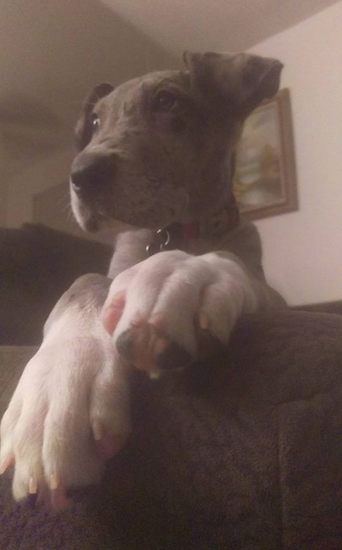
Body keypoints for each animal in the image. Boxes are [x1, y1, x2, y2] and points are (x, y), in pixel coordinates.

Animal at [0, 51, 284, 508]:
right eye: (95, 121)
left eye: (167, 101)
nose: (81, 174)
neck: (171, 231)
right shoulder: (109, 270)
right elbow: (87, 280)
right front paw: (58, 386)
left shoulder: (274, 294)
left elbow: (224, 260)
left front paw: (177, 272)